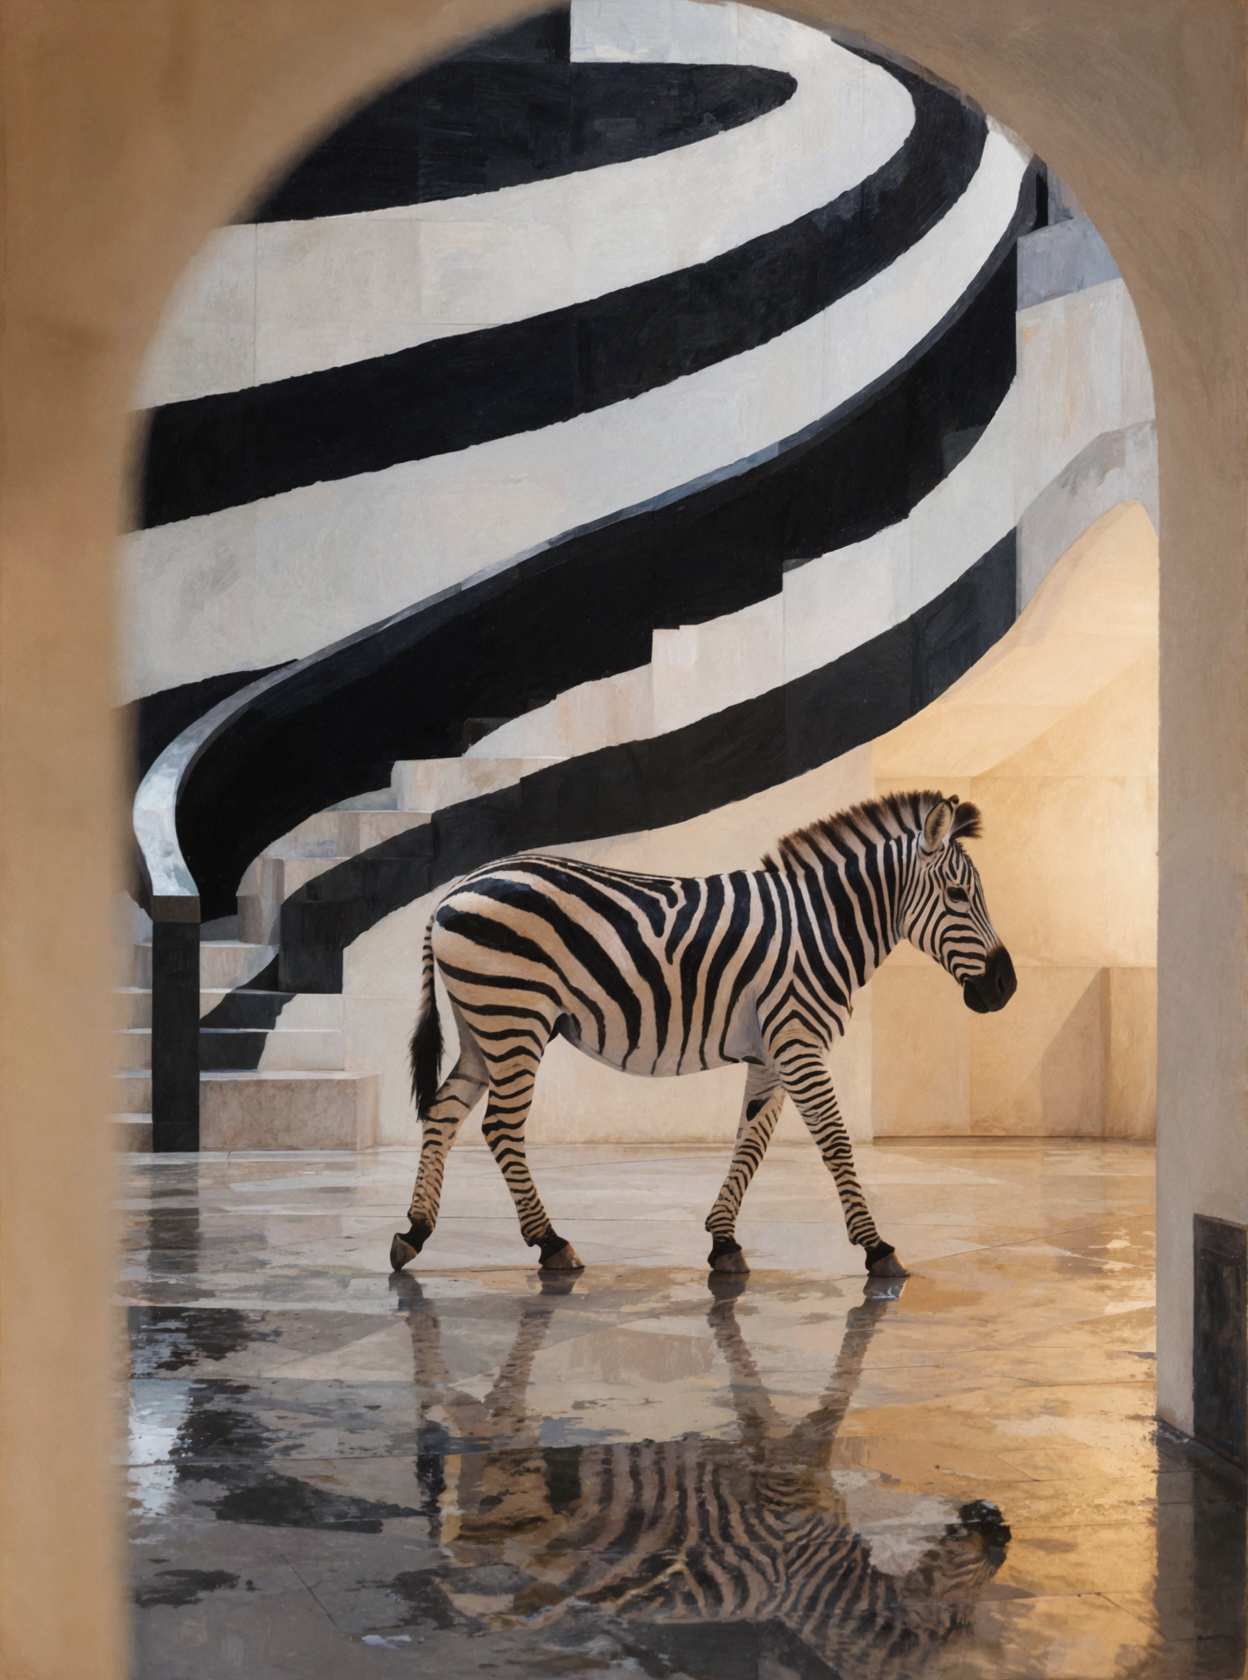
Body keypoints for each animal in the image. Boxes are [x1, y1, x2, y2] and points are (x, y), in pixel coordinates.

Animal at [390, 790, 1016, 1278]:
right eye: (959, 896)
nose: (1006, 987)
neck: (824, 926)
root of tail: (455, 888)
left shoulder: (771, 1052)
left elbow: (751, 1141)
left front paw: (723, 1241)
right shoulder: (798, 1041)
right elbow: (835, 1141)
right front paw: (876, 1247)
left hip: (484, 1025)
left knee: (444, 1112)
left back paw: (414, 1232)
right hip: (514, 1018)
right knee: (499, 1127)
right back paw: (550, 1243)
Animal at [397, 1272, 1012, 1678]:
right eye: (957, 1619)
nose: (1000, 1525)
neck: (826, 1584)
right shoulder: (789, 1471)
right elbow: (834, 1388)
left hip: (494, 1468)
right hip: (507, 1454)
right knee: (469, 1396)